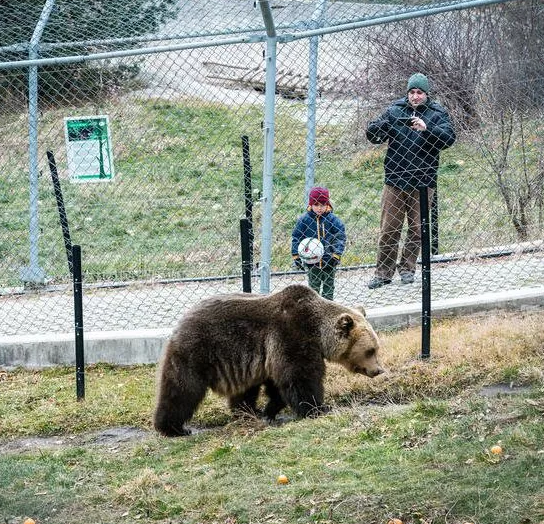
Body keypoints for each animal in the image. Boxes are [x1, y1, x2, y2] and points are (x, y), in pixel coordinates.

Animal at [153, 284, 382, 436]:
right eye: (370, 351)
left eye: (377, 348)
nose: (379, 370)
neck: (317, 332)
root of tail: (181, 320)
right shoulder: (291, 335)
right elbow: (300, 378)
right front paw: (317, 408)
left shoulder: (271, 355)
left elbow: (279, 385)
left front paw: (269, 410)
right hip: (198, 350)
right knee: (183, 388)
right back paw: (173, 428)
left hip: (238, 361)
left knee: (245, 389)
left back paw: (247, 411)